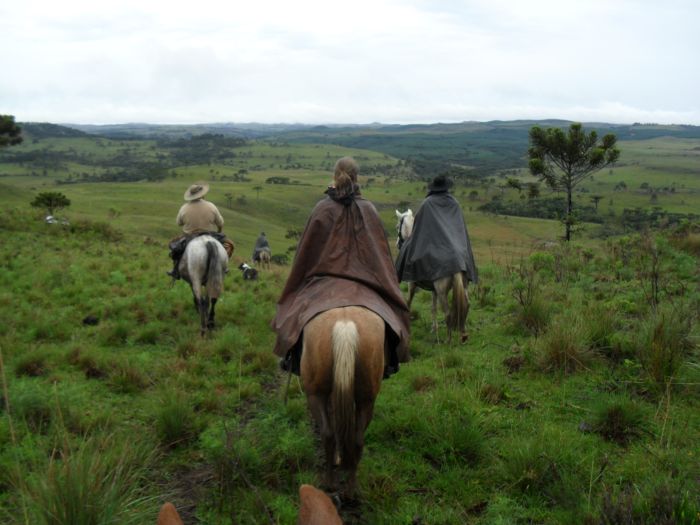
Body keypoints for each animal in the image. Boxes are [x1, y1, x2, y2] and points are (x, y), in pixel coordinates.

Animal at [300, 304, 386, 498]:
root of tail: (345, 325)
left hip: (315, 395)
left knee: (328, 433)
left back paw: (329, 483)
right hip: (367, 399)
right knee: (357, 439)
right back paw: (350, 489)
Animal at [394, 209, 470, 344]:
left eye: (398, 226)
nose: (397, 244)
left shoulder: (411, 284)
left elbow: (408, 302)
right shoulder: (433, 290)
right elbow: (433, 308)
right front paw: (434, 329)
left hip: (442, 292)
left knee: (448, 313)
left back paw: (448, 340)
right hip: (463, 287)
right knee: (466, 305)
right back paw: (463, 334)